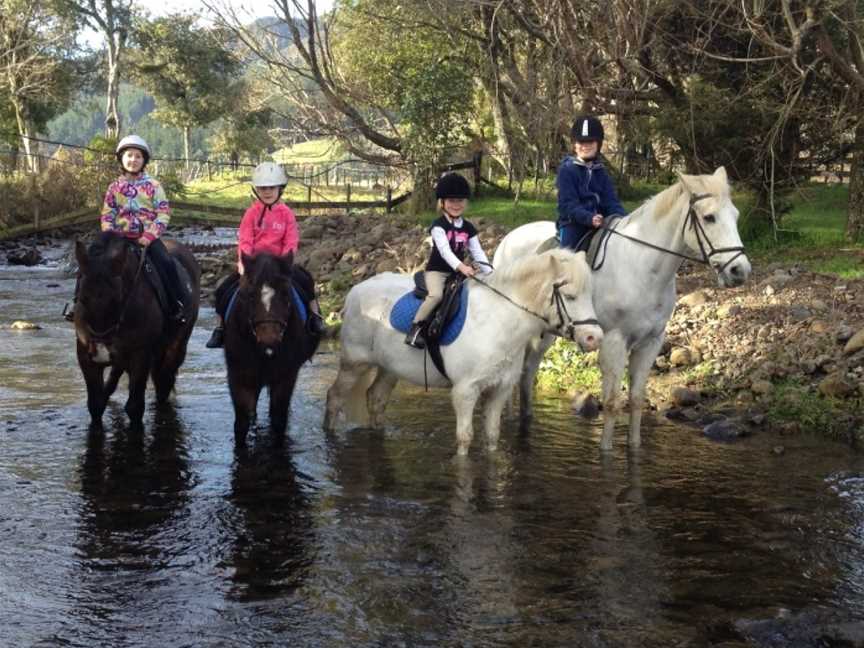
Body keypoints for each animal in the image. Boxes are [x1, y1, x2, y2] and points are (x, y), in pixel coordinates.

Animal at [74, 232, 201, 426]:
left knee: (164, 383)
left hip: (176, 347)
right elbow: (95, 405)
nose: (100, 347)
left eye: (117, 299)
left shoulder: (140, 356)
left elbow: (134, 407)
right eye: (82, 297)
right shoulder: (86, 358)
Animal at [224, 251, 318, 442]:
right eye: (250, 294)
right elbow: (241, 423)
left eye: (286, 294)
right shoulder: (238, 376)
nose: (269, 339)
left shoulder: (285, 376)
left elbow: (278, 420)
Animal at [324, 248, 600, 456]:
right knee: (335, 397)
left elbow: (492, 437)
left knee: (376, 399)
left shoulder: (499, 390)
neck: (498, 321)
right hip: (354, 364)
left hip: (389, 368)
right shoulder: (466, 391)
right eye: (570, 296)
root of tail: (355, 291)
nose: (594, 338)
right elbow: (465, 438)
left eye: (590, 294)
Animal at [496, 167, 752, 450]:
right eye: (709, 217)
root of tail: (508, 239)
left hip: (546, 335)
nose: (739, 271)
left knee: (527, 374)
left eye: (736, 216)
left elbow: (637, 401)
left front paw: (634, 447)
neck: (643, 268)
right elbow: (610, 404)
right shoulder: (613, 341)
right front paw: (606, 451)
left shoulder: (650, 343)